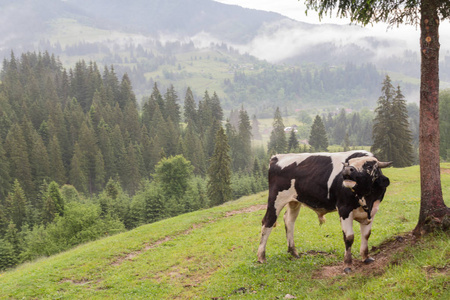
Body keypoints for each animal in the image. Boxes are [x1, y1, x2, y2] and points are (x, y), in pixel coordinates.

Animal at [256, 149, 390, 272]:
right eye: (348, 163)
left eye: (369, 165)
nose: (347, 170)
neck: (366, 198)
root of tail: (277, 157)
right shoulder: (344, 209)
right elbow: (349, 237)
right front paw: (347, 265)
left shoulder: (372, 212)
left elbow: (366, 235)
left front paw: (366, 257)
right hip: (276, 199)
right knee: (267, 222)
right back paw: (261, 257)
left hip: (294, 201)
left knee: (289, 220)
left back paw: (293, 252)